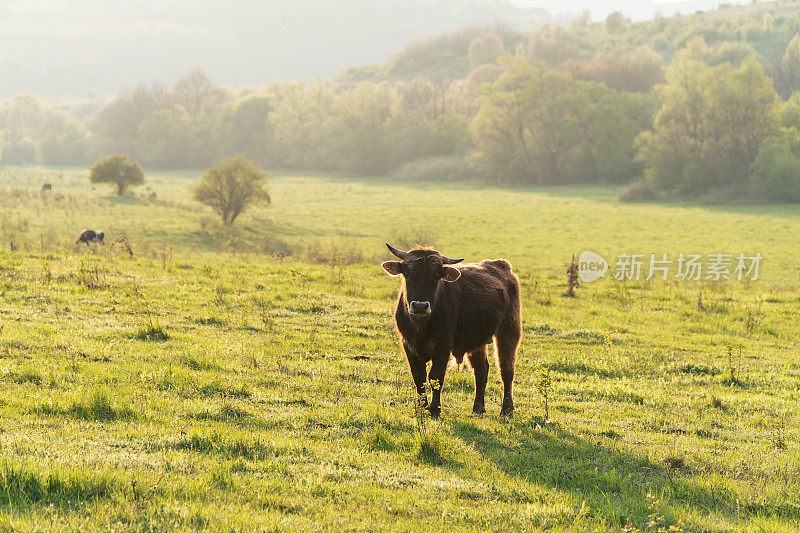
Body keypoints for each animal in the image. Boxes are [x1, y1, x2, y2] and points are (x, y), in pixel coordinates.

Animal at [382, 243, 520, 418]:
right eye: (407, 274)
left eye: (436, 276)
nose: (420, 306)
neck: (421, 326)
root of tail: (501, 265)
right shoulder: (407, 344)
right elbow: (419, 377)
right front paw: (421, 407)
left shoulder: (443, 345)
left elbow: (436, 376)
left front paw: (435, 409)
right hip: (477, 340)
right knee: (481, 369)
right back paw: (478, 407)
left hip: (509, 331)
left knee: (506, 369)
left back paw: (507, 409)